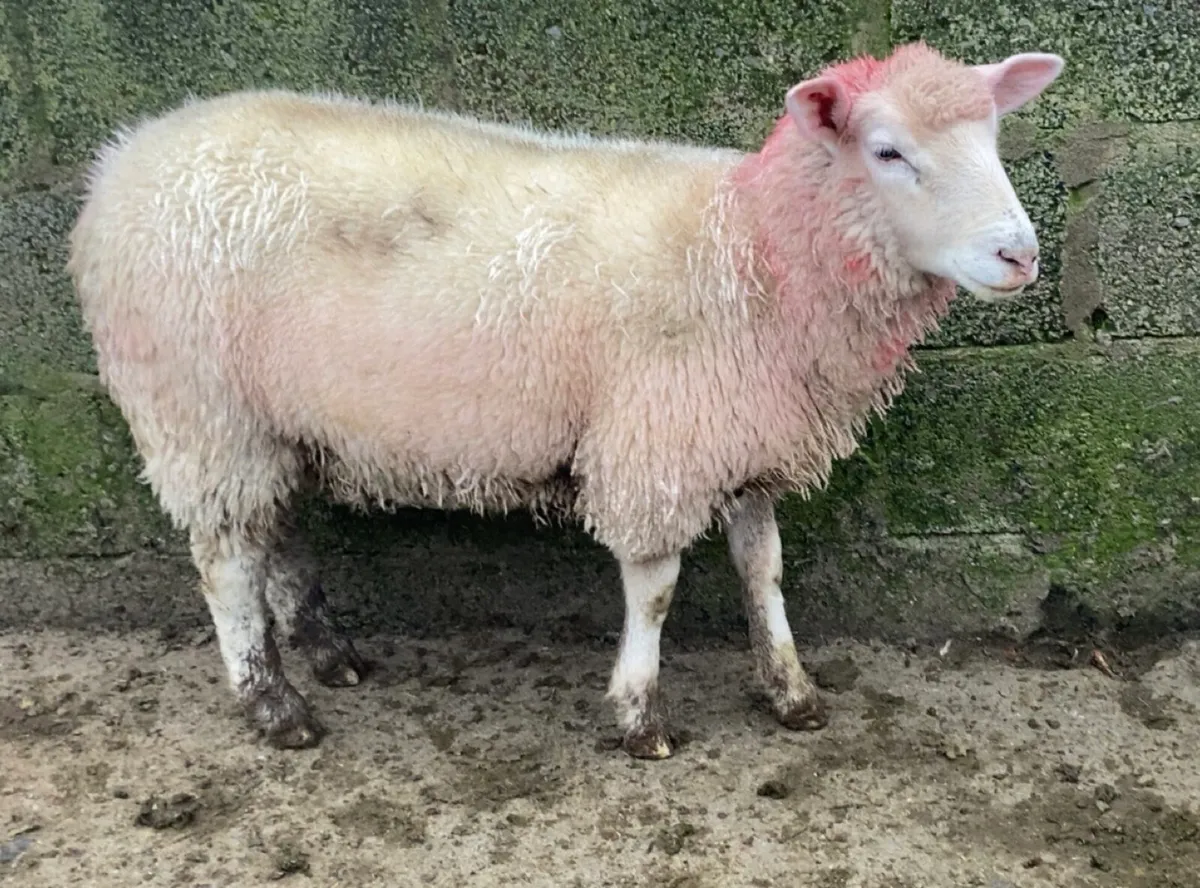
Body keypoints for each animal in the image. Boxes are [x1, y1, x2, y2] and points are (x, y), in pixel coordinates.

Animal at [67, 41, 1064, 759]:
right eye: (888, 150)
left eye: (994, 142)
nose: (1021, 255)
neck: (752, 247)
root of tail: (118, 165)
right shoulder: (660, 443)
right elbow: (656, 590)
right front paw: (638, 716)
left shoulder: (738, 435)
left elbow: (763, 570)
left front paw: (791, 690)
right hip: (197, 406)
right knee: (225, 561)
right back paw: (275, 707)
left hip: (273, 420)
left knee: (272, 535)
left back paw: (330, 655)